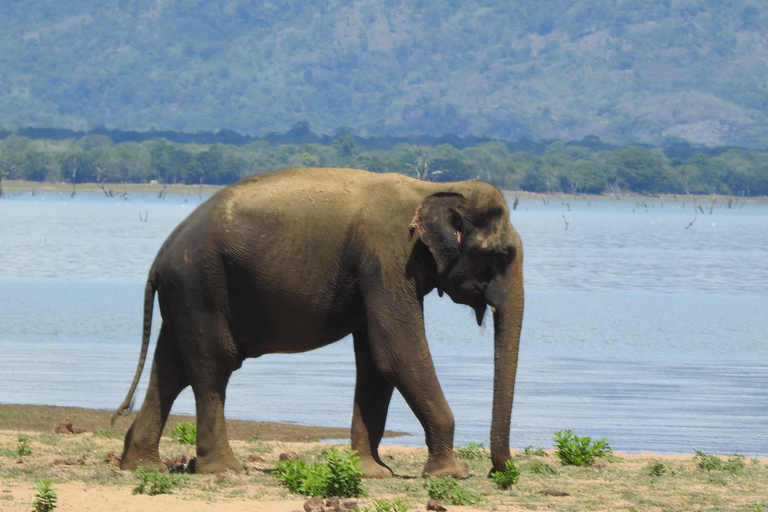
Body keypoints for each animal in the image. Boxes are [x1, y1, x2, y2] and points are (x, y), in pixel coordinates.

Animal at [114, 167, 524, 478]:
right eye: (502, 256)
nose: (498, 472)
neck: (431, 190)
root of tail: (160, 258)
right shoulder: (386, 257)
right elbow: (396, 352)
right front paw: (451, 474)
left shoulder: (378, 272)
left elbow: (375, 362)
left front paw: (371, 472)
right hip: (201, 284)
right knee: (213, 366)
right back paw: (224, 469)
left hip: (185, 292)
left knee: (171, 367)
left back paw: (142, 466)